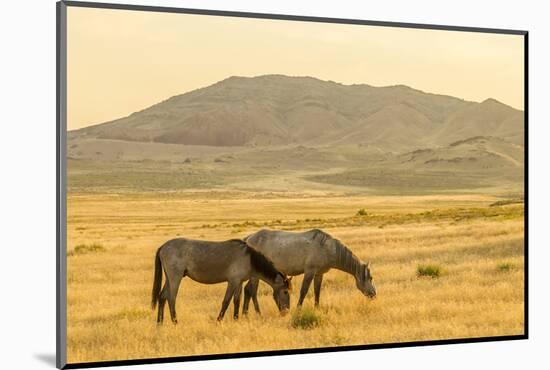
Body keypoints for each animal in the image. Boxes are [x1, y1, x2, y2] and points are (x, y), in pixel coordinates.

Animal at [151, 238, 294, 322]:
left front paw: (236, 319)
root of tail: (163, 246)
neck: (249, 259)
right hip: (175, 278)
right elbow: (226, 301)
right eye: (285, 292)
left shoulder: (239, 282)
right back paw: (175, 322)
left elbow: (237, 301)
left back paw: (159, 324)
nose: (286, 312)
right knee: (171, 298)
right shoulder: (232, 281)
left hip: (169, 278)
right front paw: (219, 320)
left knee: (162, 297)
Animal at [244, 228, 378, 316]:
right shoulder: (309, 272)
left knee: (247, 290)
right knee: (252, 291)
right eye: (370, 278)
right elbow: (304, 291)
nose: (374, 294)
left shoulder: (319, 274)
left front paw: (317, 308)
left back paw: (245, 313)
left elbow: (317, 291)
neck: (327, 248)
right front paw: (298, 310)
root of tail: (249, 238)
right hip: (255, 275)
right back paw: (258, 313)